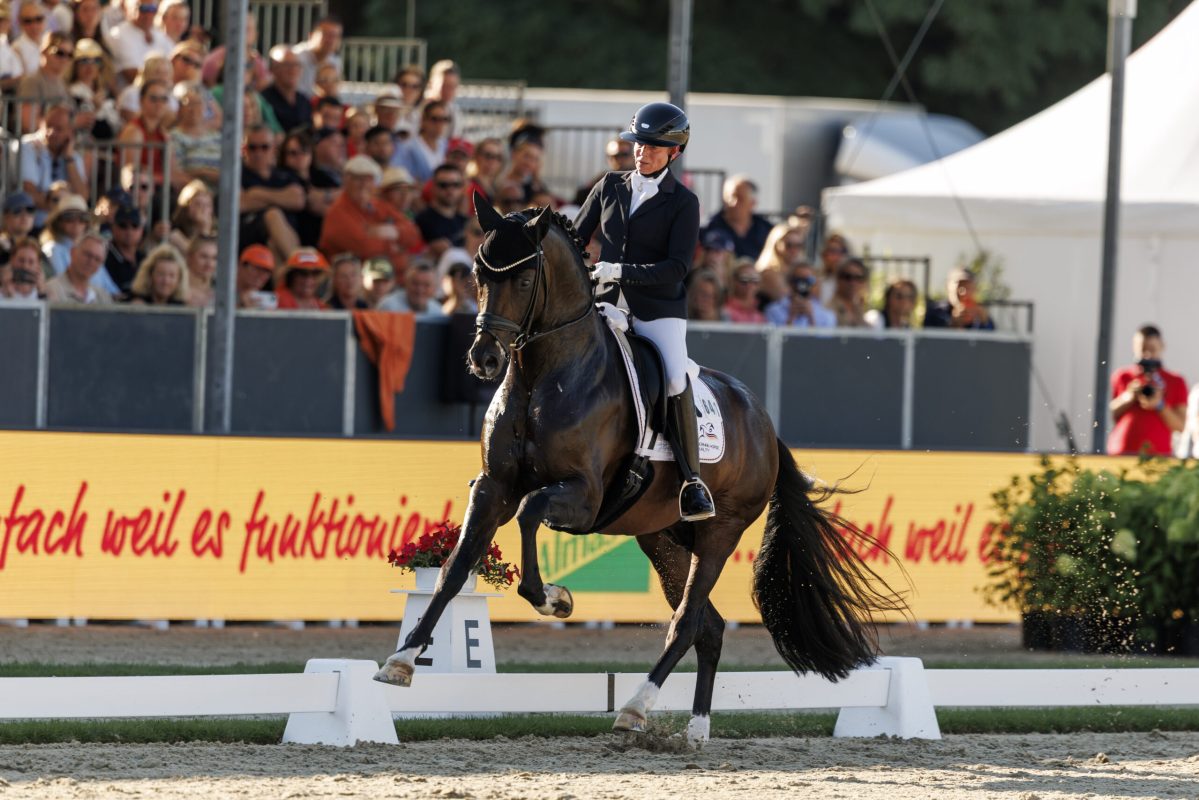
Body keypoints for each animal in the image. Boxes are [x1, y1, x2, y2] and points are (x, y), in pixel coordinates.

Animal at [374, 200, 905, 745]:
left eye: (523, 280)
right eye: (478, 276)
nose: (484, 359)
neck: (542, 376)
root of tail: (763, 422)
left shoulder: (583, 495)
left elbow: (529, 513)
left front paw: (554, 600)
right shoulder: (492, 487)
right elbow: (455, 569)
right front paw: (403, 659)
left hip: (720, 532)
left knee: (688, 621)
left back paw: (635, 707)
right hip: (663, 537)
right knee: (709, 626)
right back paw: (696, 728)